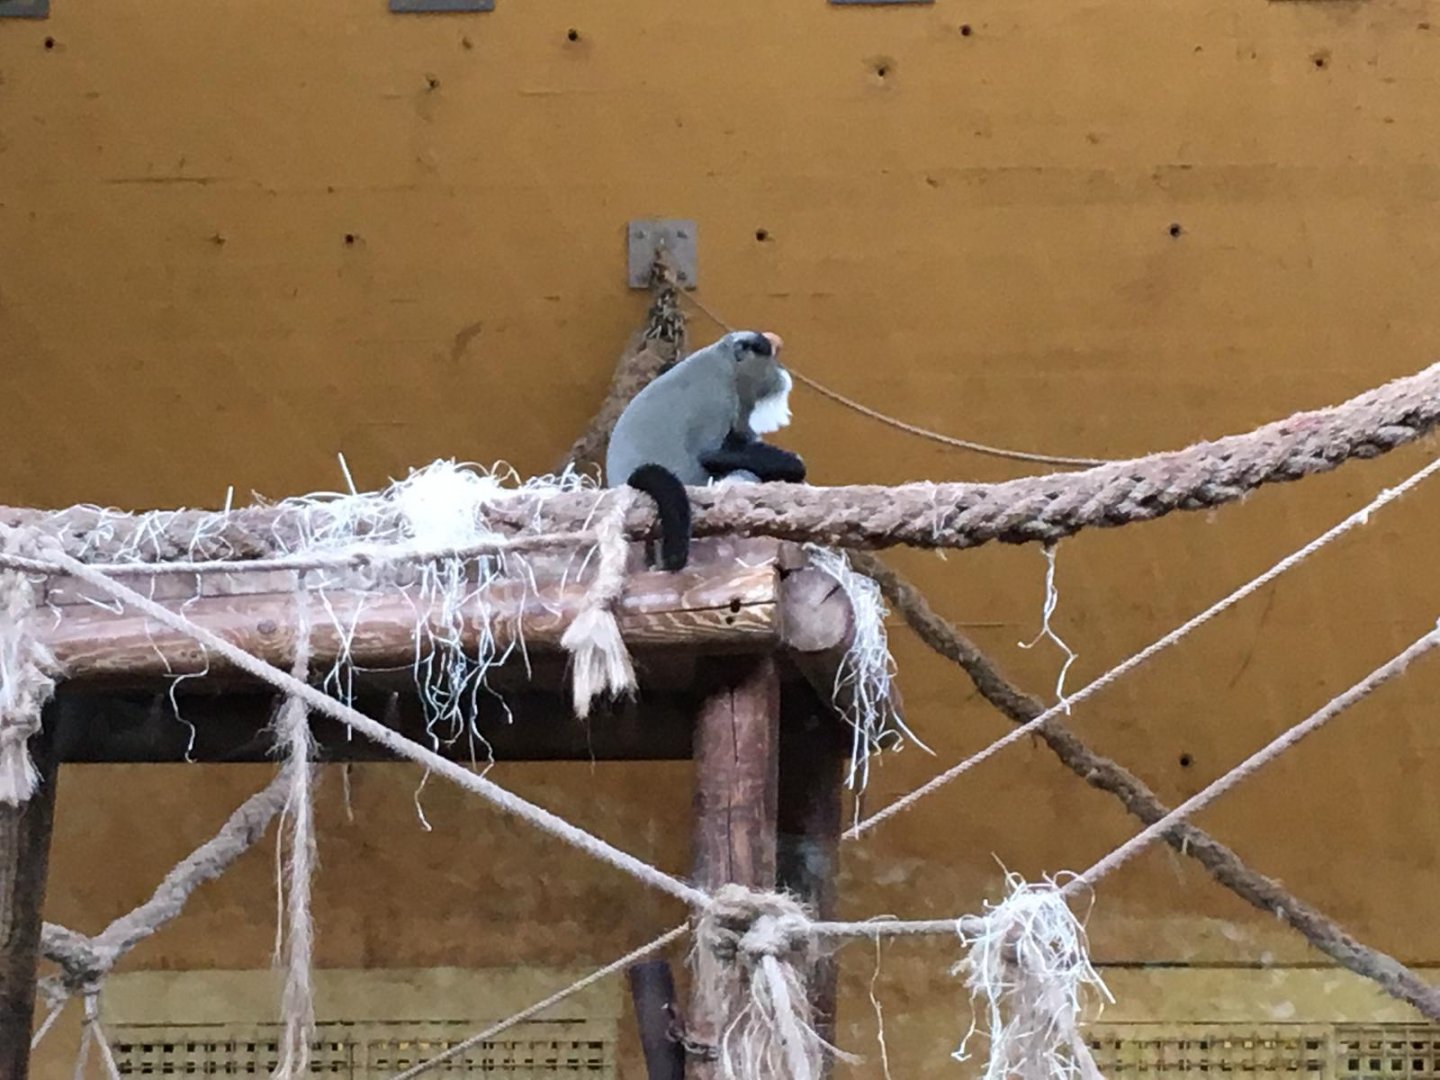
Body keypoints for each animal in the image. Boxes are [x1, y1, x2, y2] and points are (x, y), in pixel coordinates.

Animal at [604, 329, 807, 571]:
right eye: (769, 356)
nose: (782, 372)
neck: (725, 360)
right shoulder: (719, 399)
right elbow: (710, 454)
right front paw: (795, 466)